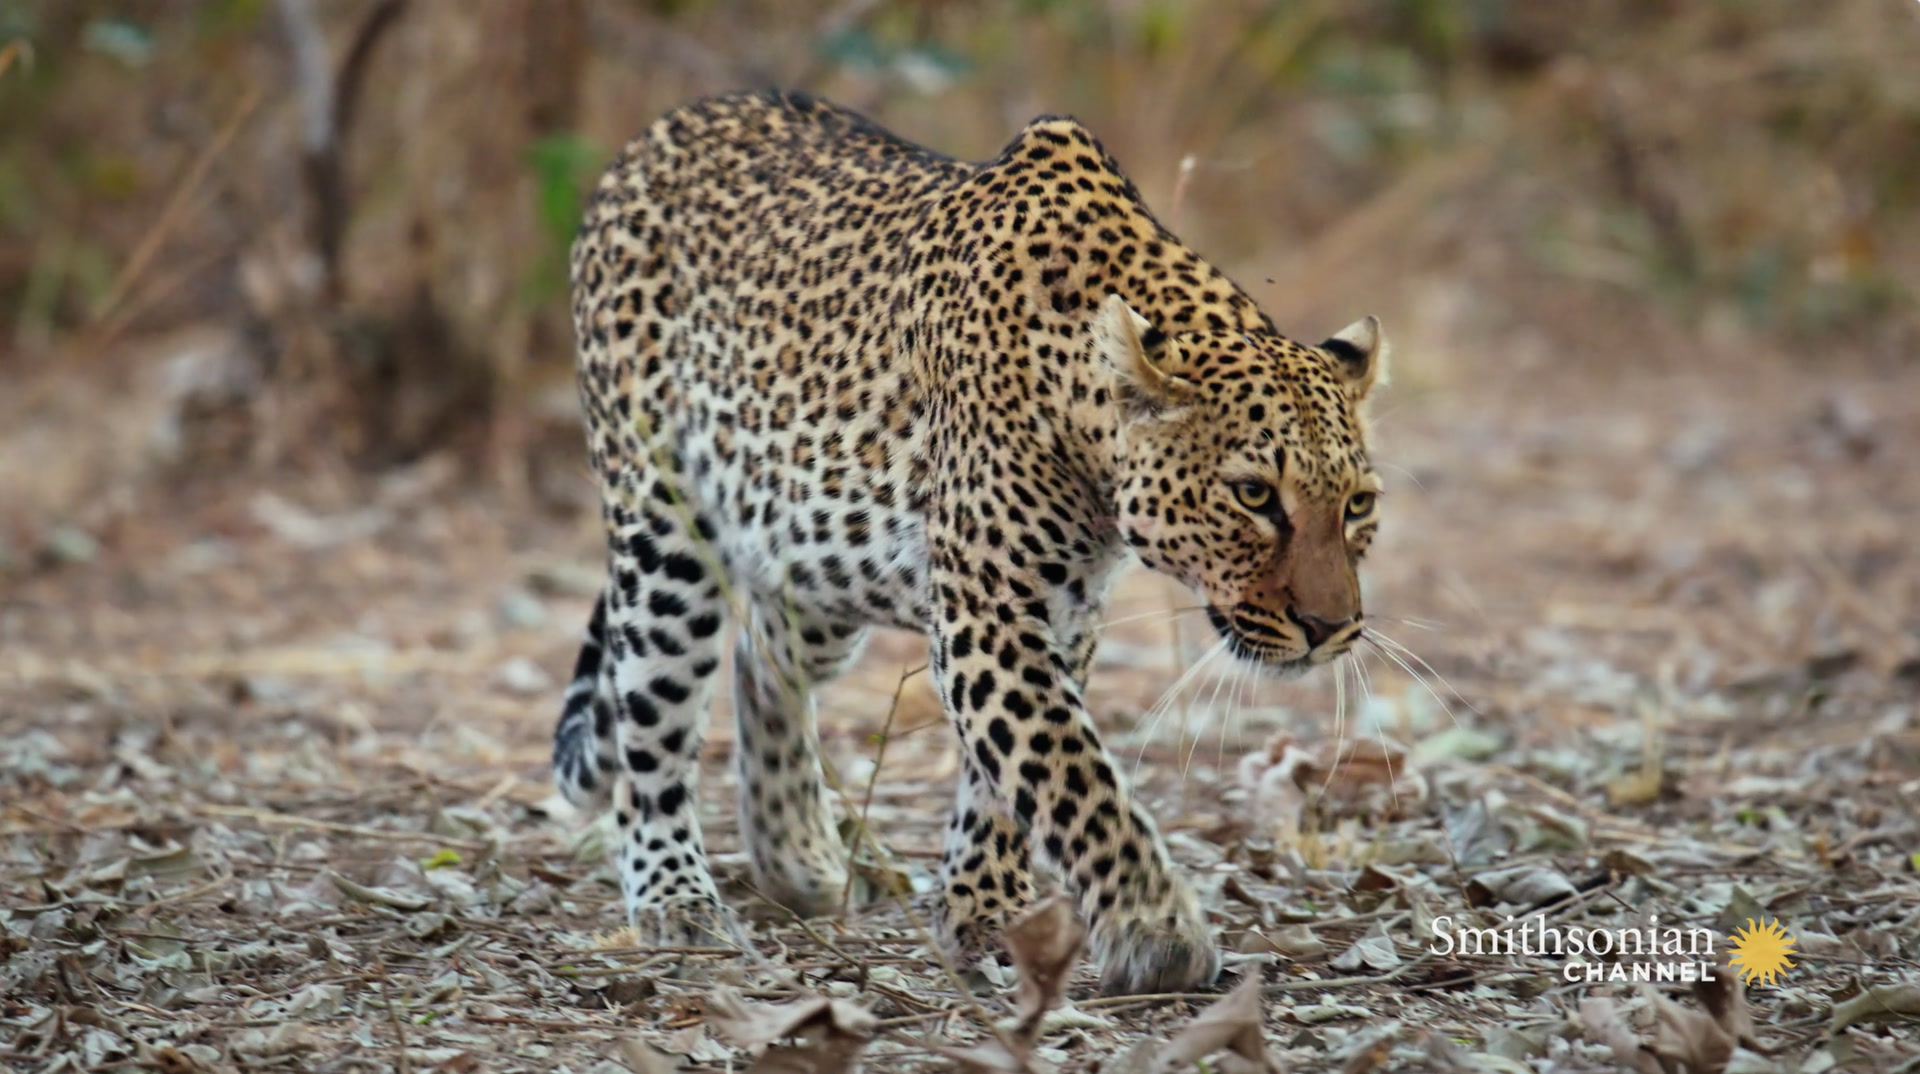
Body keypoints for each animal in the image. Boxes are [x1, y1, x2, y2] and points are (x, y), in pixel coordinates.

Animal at [549, 92, 1390, 999]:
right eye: (1254, 496)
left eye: (1358, 505)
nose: (1331, 630)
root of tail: (658, 133)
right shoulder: (988, 605)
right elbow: (1066, 768)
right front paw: (1156, 932)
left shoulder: (1059, 610)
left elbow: (1003, 776)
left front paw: (982, 909)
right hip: (663, 529)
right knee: (652, 721)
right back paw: (676, 896)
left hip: (815, 556)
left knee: (762, 658)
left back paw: (797, 858)